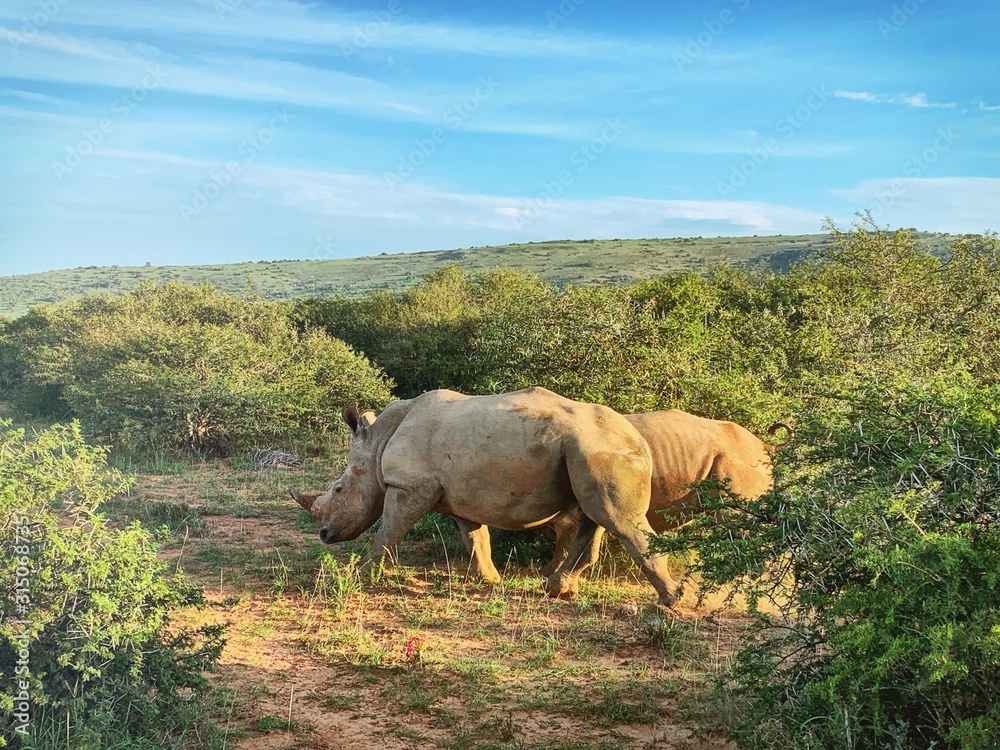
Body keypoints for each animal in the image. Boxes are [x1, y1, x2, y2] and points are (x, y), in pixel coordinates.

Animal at [290, 387, 681, 606]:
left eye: (339, 490)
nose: (323, 535)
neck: (377, 443)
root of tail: (639, 438)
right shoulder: (456, 491)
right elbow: (475, 537)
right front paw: (489, 580)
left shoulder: (410, 486)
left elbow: (388, 531)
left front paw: (361, 574)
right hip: (589, 449)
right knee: (596, 515)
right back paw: (559, 590)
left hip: (597, 447)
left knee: (617, 519)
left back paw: (677, 601)